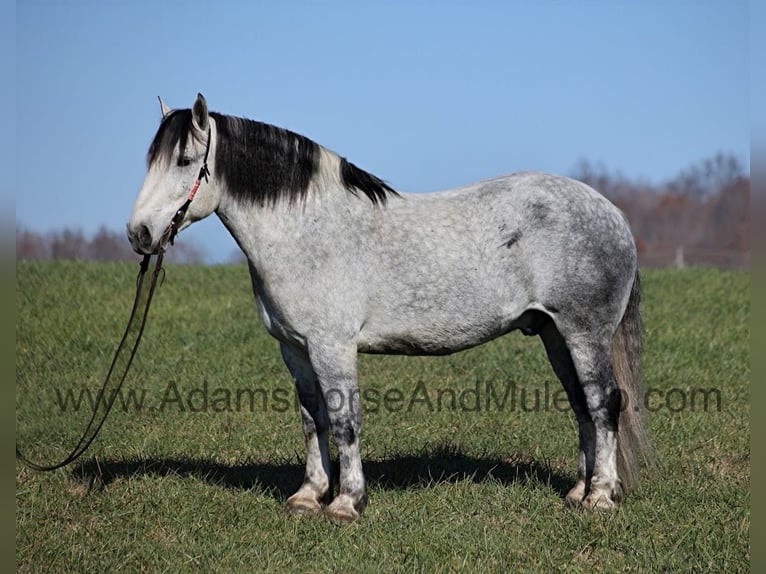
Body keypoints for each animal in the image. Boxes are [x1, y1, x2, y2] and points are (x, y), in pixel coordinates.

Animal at [128, 93, 651, 522]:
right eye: (150, 160)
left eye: (185, 160)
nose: (139, 234)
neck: (308, 229)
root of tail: (612, 212)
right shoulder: (295, 349)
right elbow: (312, 418)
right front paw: (308, 496)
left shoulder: (333, 347)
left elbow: (344, 420)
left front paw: (346, 502)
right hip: (554, 334)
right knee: (582, 406)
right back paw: (578, 491)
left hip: (584, 334)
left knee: (604, 403)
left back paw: (601, 496)